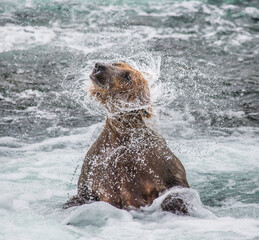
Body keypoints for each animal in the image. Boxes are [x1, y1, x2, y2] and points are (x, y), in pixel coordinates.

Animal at [66, 62, 190, 214]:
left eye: (127, 76)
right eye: (115, 63)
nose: (99, 66)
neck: (121, 136)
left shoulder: (157, 161)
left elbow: (176, 184)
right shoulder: (94, 165)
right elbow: (84, 194)